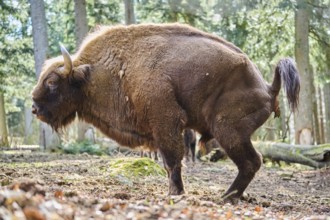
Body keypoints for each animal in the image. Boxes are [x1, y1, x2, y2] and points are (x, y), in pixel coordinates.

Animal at [32, 23, 300, 203]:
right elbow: (168, 162)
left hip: (228, 131)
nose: (34, 108)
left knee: (251, 162)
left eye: (52, 82)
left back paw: (226, 197)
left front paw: (175, 194)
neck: (93, 73)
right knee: (251, 163)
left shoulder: (166, 123)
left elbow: (172, 161)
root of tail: (267, 87)